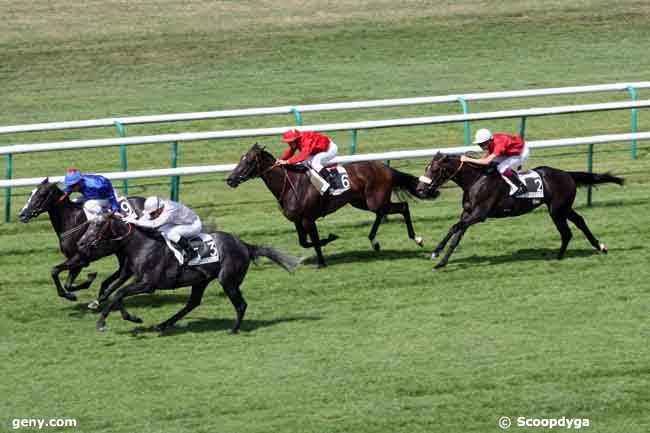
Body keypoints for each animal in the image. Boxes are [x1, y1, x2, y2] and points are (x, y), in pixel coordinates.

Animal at [77, 214, 300, 332]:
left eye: (98, 224)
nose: (80, 243)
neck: (143, 244)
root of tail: (245, 245)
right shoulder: (135, 277)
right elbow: (115, 292)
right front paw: (109, 311)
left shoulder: (149, 284)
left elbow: (119, 293)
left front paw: (105, 322)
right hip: (201, 280)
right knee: (192, 303)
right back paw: (163, 324)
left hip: (227, 280)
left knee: (241, 304)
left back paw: (234, 329)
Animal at [225, 143, 432, 264]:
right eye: (241, 159)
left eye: (248, 161)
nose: (230, 179)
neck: (291, 184)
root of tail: (385, 168)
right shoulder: (297, 220)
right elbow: (304, 243)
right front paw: (330, 239)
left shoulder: (308, 219)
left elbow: (315, 241)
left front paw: (323, 260)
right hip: (362, 202)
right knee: (382, 213)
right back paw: (374, 242)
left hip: (375, 200)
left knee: (403, 207)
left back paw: (417, 238)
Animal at [416, 152, 624, 266]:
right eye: (427, 168)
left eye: (435, 169)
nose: (420, 189)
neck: (476, 180)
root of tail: (567, 174)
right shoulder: (468, 213)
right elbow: (457, 234)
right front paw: (441, 261)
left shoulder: (480, 214)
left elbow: (454, 228)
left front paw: (435, 252)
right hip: (563, 208)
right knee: (579, 222)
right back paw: (599, 247)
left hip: (556, 210)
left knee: (567, 232)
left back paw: (559, 256)